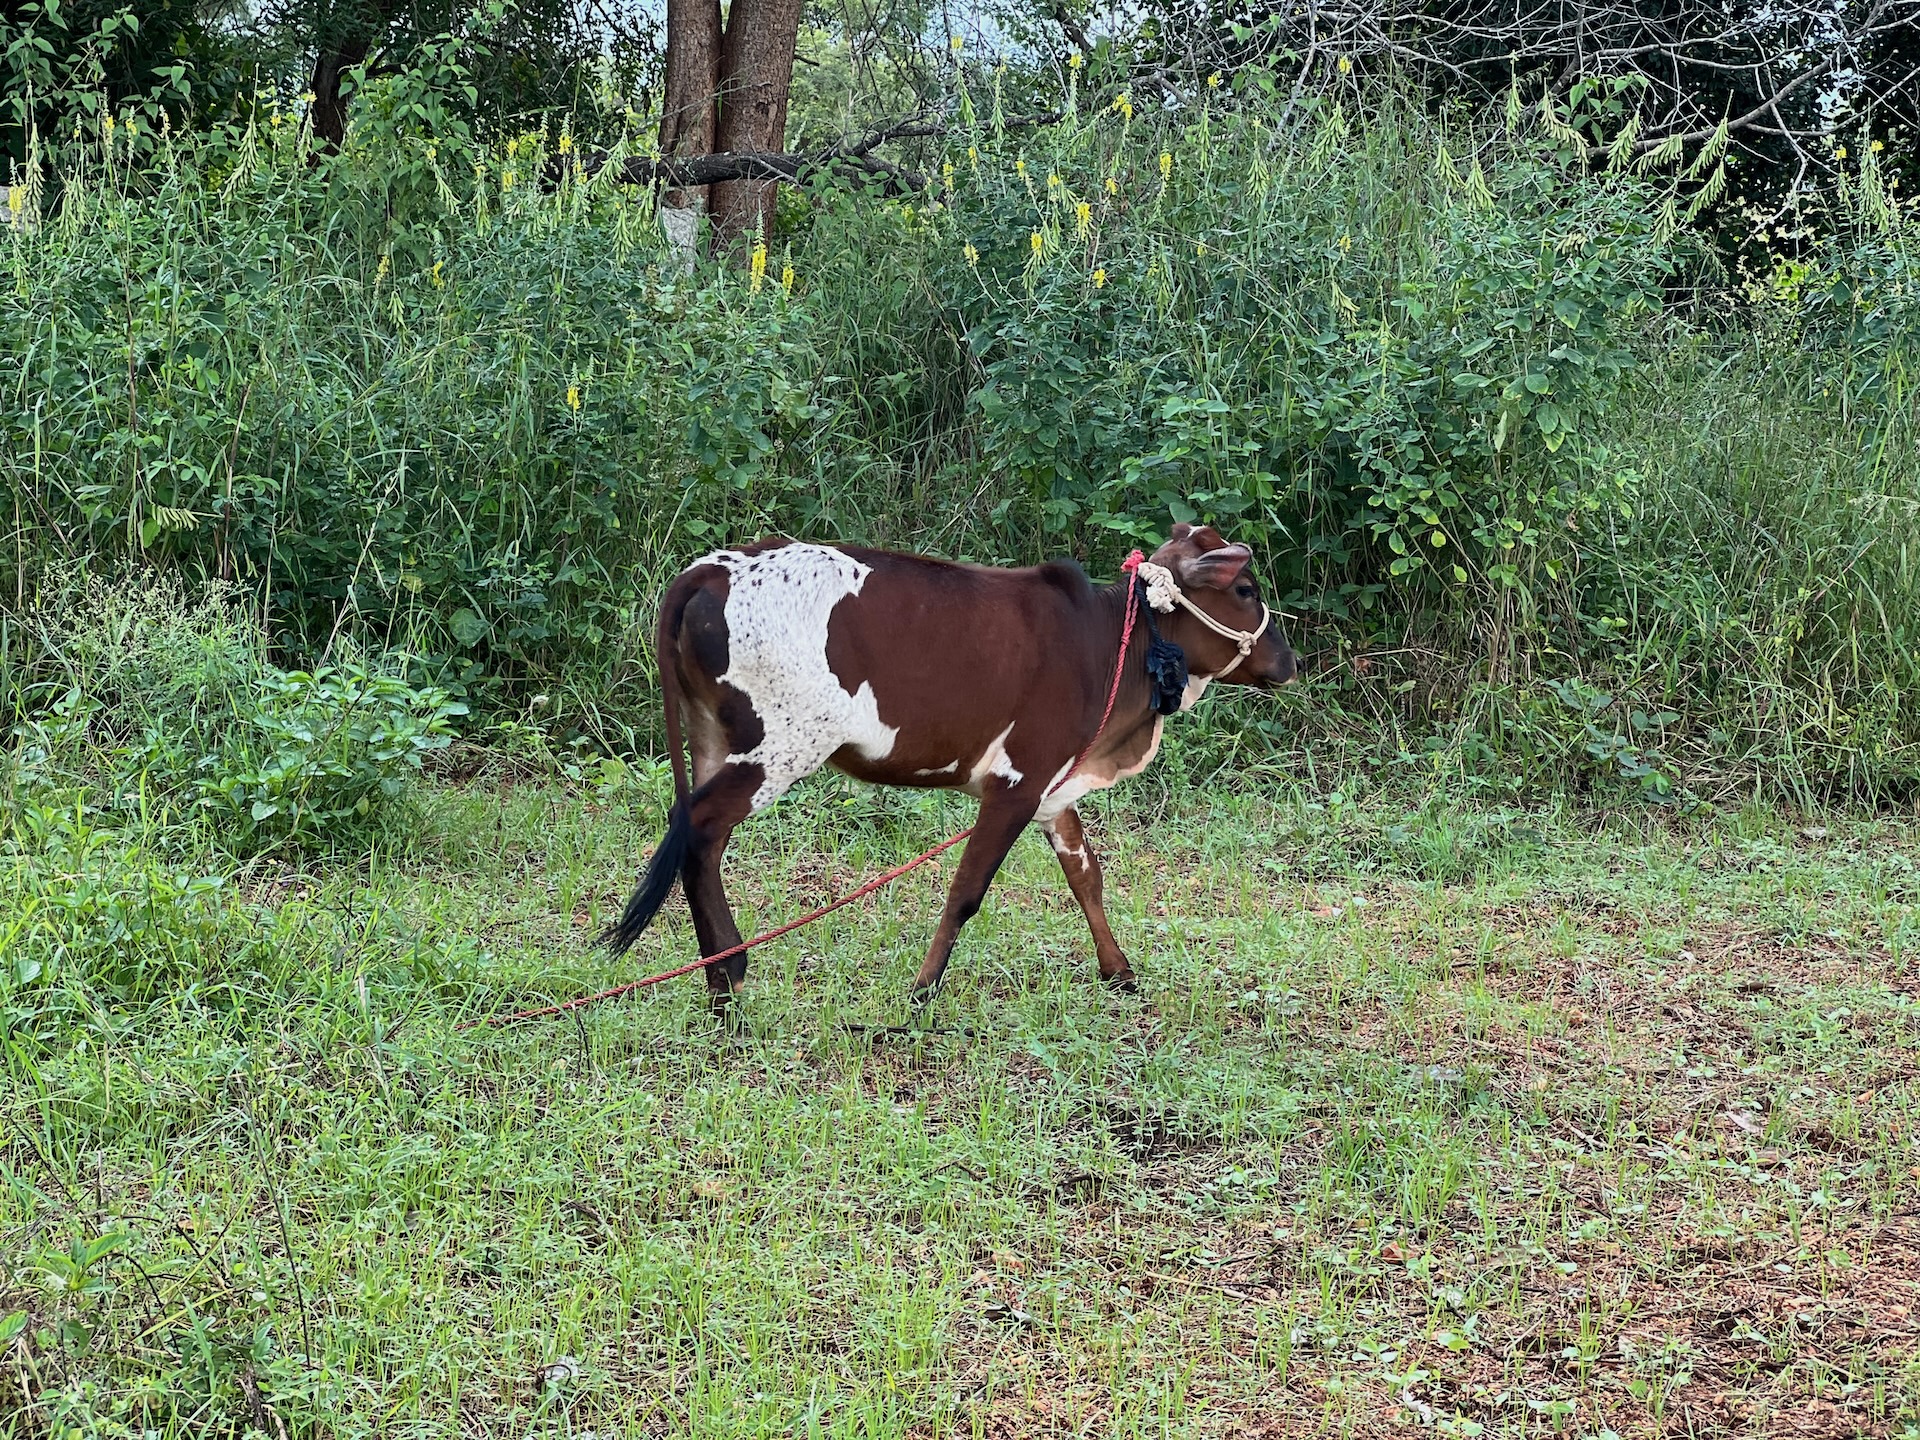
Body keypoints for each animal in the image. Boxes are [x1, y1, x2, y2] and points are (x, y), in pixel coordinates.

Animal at [603, 520, 1297, 1009]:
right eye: (1244, 589)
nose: (1289, 662)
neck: (1113, 648)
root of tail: (712, 569)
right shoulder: (1017, 784)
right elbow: (965, 891)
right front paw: (921, 992)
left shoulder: (1052, 789)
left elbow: (1086, 877)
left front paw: (1118, 971)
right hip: (777, 749)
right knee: (700, 831)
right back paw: (727, 982)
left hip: (715, 740)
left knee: (696, 837)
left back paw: (722, 976)